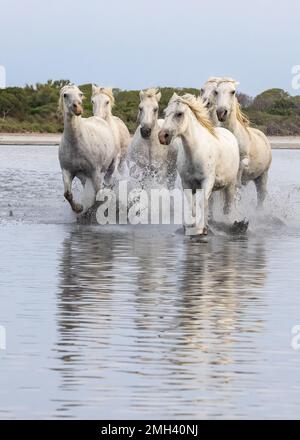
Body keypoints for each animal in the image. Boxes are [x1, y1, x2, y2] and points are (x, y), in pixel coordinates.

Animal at [58, 84, 119, 213]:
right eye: (65, 95)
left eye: (80, 94)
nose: (78, 108)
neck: (76, 144)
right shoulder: (67, 171)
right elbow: (67, 194)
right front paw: (78, 208)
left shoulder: (95, 172)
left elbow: (98, 194)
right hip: (84, 176)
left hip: (111, 165)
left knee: (108, 181)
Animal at [158, 93, 240, 234]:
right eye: (165, 112)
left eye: (179, 114)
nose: (162, 136)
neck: (195, 153)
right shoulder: (187, 183)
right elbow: (193, 205)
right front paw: (192, 224)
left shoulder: (207, 181)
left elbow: (202, 203)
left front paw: (200, 228)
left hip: (230, 184)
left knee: (227, 206)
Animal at [216, 78, 272, 206]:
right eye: (216, 92)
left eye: (233, 92)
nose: (221, 112)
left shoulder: (245, 158)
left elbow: (241, 166)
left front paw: (238, 184)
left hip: (263, 175)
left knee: (261, 196)